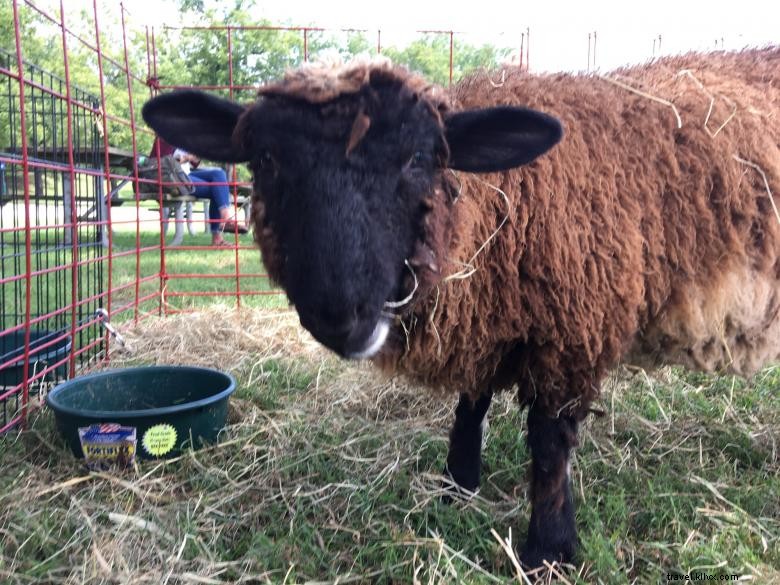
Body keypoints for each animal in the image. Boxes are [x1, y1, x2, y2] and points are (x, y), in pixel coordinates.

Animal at [142, 48, 780, 568]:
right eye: (267, 158)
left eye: (419, 159)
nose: (342, 318)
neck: (501, 204)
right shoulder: (490, 320)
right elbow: (471, 402)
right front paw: (457, 485)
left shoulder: (573, 330)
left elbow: (549, 444)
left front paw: (549, 549)